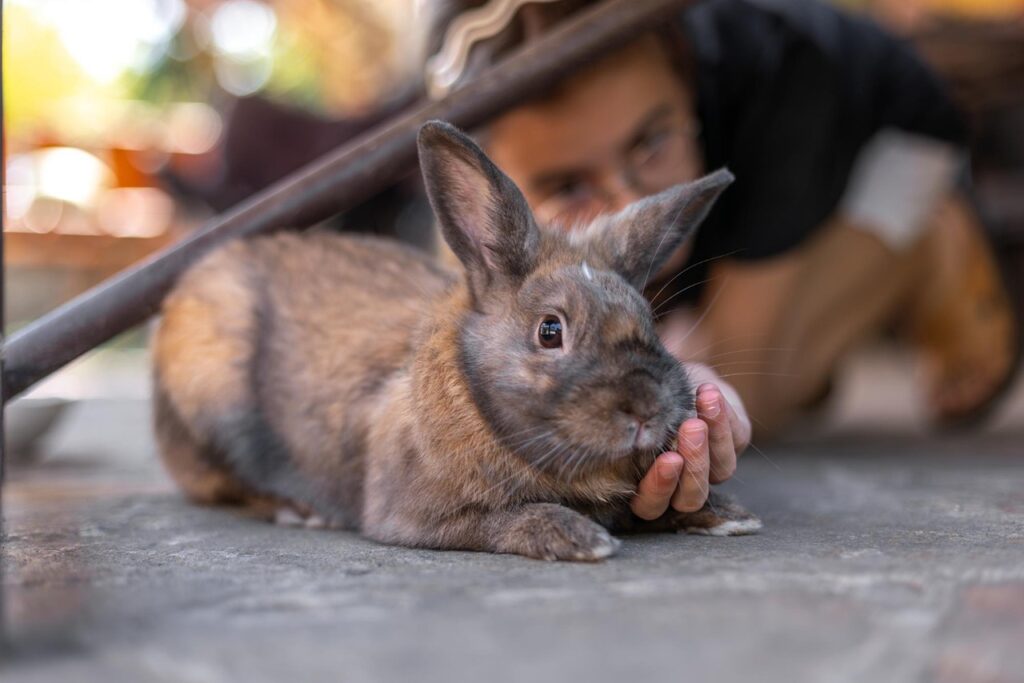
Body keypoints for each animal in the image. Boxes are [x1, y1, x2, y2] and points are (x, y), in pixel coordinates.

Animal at [152, 120, 760, 562]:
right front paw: (581, 539)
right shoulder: (420, 516)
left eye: (649, 321)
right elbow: (502, 521)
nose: (646, 410)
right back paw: (300, 511)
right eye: (550, 330)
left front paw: (727, 514)